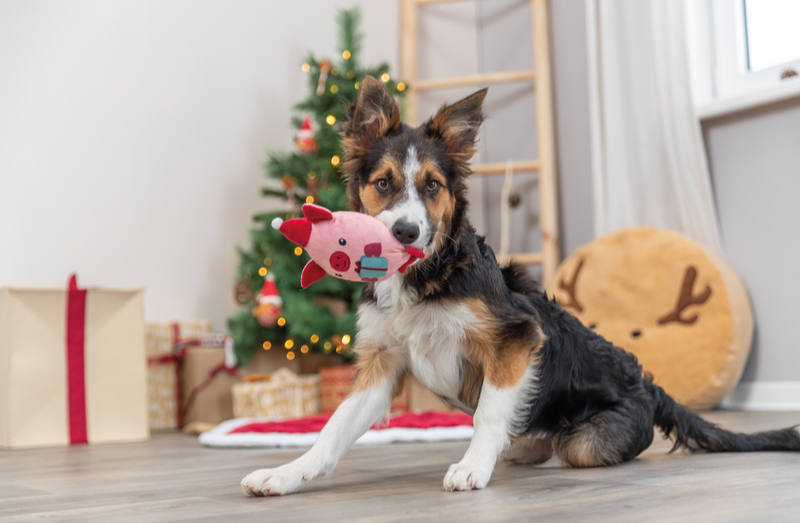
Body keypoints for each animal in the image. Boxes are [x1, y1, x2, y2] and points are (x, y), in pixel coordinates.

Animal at [241, 75, 800, 498]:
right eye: (383, 184)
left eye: (432, 186)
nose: (405, 233)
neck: (427, 277)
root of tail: (649, 384)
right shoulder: (382, 361)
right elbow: (333, 428)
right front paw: (286, 474)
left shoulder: (517, 337)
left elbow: (490, 410)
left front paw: (472, 466)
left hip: (590, 439)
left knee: (567, 447)